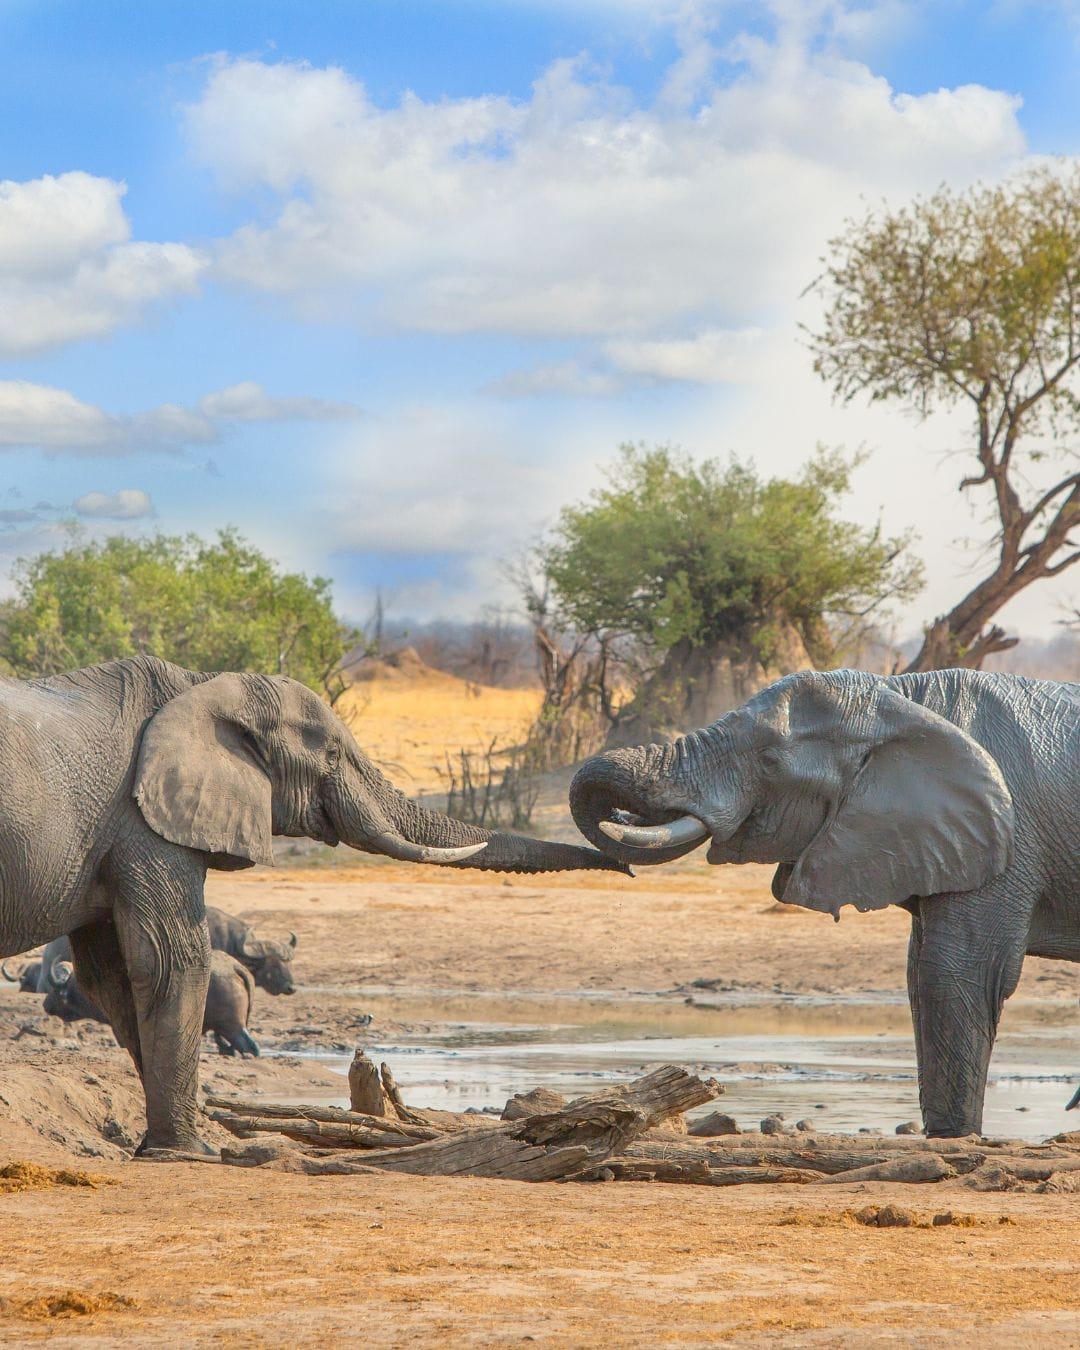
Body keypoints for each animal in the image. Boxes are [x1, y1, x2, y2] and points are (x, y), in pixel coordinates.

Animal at [0, 654, 626, 1156]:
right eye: (331, 753)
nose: (625, 861)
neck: (202, 685)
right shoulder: (146, 822)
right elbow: (169, 961)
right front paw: (190, 1153)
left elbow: (112, 977)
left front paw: (161, 1146)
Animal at [569, 667, 1080, 1138]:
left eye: (769, 760)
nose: (618, 818)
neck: (903, 697)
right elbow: (920, 976)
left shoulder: (1006, 841)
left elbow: (955, 975)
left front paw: (954, 1139)